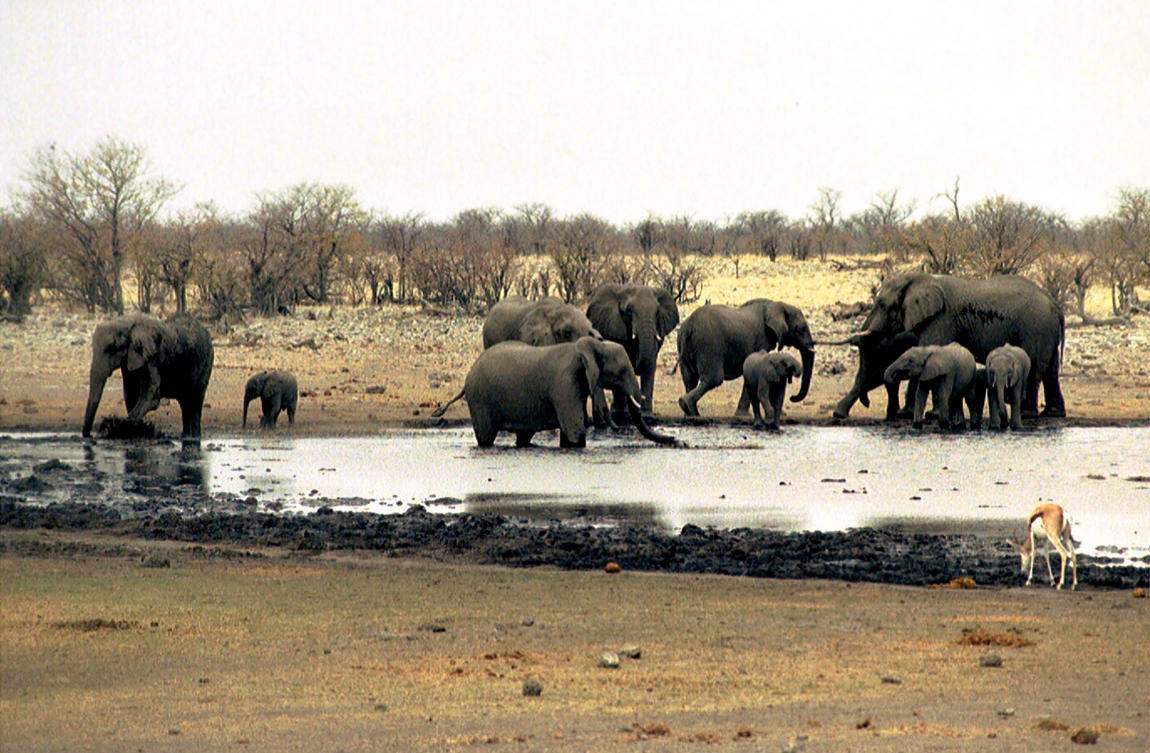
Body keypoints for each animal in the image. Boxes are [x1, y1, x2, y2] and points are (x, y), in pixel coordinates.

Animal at [82, 313, 214, 439]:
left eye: (112, 348)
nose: (90, 436)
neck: (126, 323)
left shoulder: (151, 357)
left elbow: (151, 398)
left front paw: (119, 427)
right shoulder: (129, 362)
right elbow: (131, 394)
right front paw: (135, 430)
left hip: (206, 363)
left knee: (195, 401)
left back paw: (194, 437)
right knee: (185, 403)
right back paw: (186, 436)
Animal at [434, 337, 677, 448]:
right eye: (622, 370)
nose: (675, 440)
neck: (586, 347)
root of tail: (468, 376)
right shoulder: (565, 383)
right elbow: (575, 430)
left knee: (524, 436)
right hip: (479, 399)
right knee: (486, 437)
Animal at [585, 283, 680, 415]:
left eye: (657, 312)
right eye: (629, 312)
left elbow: (650, 363)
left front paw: (646, 414)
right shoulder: (615, 326)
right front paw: (621, 412)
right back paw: (618, 411)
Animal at [674, 298, 815, 417]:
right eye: (801, 329)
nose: (792, 397)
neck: (776, 304)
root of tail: (689, 326)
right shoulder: (762, 338)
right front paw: (743, 416)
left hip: (684, 345)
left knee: (689, 379)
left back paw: (690, 413)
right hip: (709, 346)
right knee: (713, 379)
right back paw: (686, 406)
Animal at [836, 273, 1064, 419]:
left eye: (882, 304)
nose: (867, 404)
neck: (918, 278)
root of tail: (1055, 304)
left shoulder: (940, 318)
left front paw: (908, 414)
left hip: (1036, 328)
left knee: (1035, 369)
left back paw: (1028, 413)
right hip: (1047, 331)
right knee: (1051, 372)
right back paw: (1053, 413)